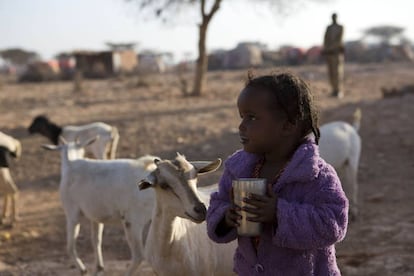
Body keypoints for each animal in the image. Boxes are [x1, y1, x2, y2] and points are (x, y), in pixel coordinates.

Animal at [42, 138, 158, 276]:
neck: (71, 164)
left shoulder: (72, 214)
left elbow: (70, 246)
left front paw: (83, 270)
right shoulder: (96, 218)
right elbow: (96, 240)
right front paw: (99, 268)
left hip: (133, 222)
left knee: (139, 255)